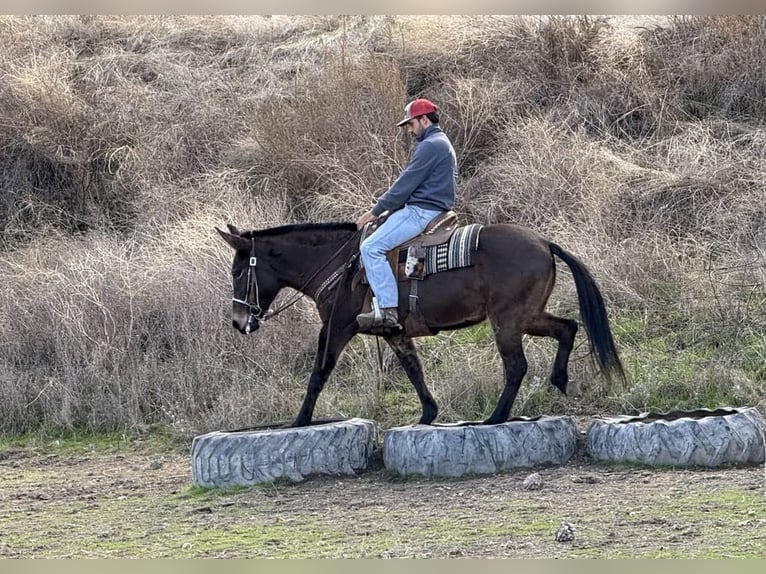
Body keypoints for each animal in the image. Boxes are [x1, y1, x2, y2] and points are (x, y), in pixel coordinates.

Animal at [216, 219, 625, 427]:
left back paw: (495, 417)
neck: (340, 264)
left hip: (507, 320)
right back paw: (559, 379)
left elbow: (319, 373)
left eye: (237, 271)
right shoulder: (394, 333)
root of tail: (542, 242)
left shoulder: (336, 329)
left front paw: (300, 420)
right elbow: (414, 370)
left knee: (516, 365)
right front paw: (429, 413)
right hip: (527, 316)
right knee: (567, 328)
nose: (238, 321)